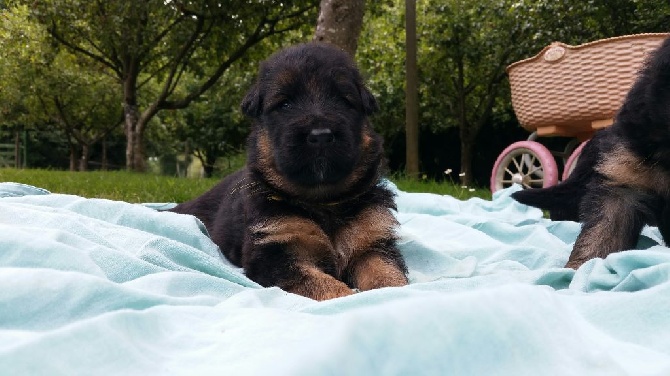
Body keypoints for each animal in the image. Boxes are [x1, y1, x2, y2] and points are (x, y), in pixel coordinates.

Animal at [171, 42, 410, 300]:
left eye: (344, 101)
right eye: (285, 104)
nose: (320, 136)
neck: (322, 201)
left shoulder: (372, 243)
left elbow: (387, 273)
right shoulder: (275, 250)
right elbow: (322, 284)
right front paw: (346, 296)